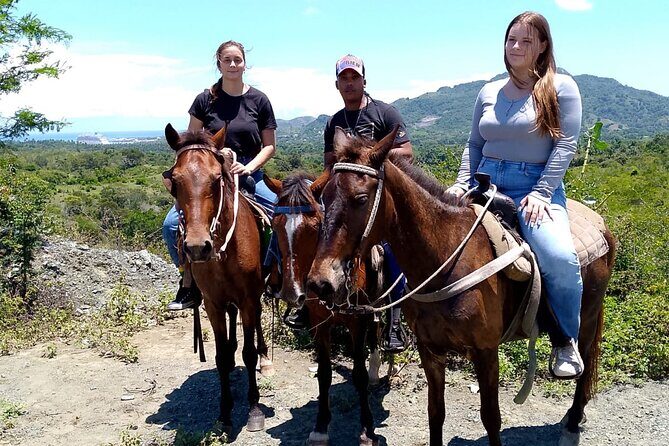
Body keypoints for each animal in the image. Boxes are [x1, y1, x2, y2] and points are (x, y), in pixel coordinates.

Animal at [162, 124, 274, 434]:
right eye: (175, 180)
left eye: (216, 178)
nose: (197, 247)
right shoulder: (212, 304)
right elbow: (222, 356)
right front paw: (224, 413)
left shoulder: (248, 299)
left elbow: (248, 353)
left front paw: (254, 409)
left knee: (256, 327)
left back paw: (265, 360)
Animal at [264, 171, 386, 446]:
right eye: (275, 226)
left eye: (314, 228)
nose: (291, 293)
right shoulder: (319, 321)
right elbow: (324, 373)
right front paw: (320, 426)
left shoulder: (357, 322)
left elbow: (359, 374)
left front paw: (367, 428)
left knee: (377, 330)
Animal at [307, 127, 616, 446]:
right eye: (323, 198)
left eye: (360, 198)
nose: (321, 282)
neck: (447, 259)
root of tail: (602, 225)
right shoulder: (431, 350)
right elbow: (435, 413)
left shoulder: (486, 351)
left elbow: (491, 417)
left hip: (587, 318)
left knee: (585, 363)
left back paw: (573, 421)